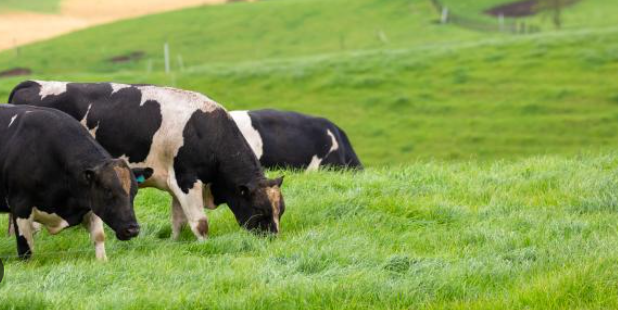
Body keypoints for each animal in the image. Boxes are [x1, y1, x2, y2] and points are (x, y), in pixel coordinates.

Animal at [0, 104, 153, 260]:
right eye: (107, 191)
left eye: (135, 192)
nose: (132, 229)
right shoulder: (20, 207)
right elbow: (26, 250)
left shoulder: (91, 203)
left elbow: (99, 236)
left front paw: (102, 261)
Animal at [9, 80, 284, 240]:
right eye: (260, 210)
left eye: (281, 210)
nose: (273, 238)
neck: (204, 129)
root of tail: (33, 83)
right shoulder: (187, 179)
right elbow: (200, 223)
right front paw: (204, 245)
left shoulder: (175, 183)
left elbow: (178, 221)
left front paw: (175, 244)